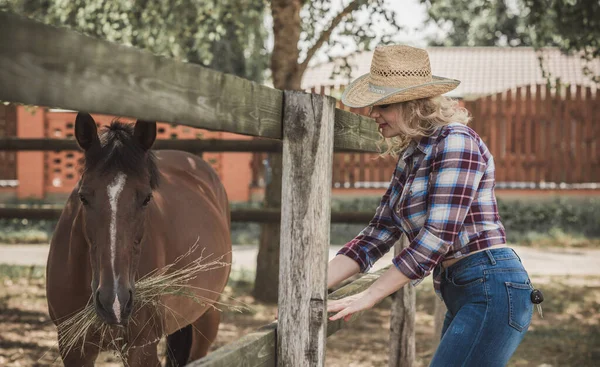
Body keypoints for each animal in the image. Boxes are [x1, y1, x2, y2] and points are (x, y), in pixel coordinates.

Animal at [44, 113, 231, 366]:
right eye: (83, 197)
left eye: (146, 198)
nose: (114, 302)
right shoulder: (73, 349)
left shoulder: (142, 349)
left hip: (208, 316)